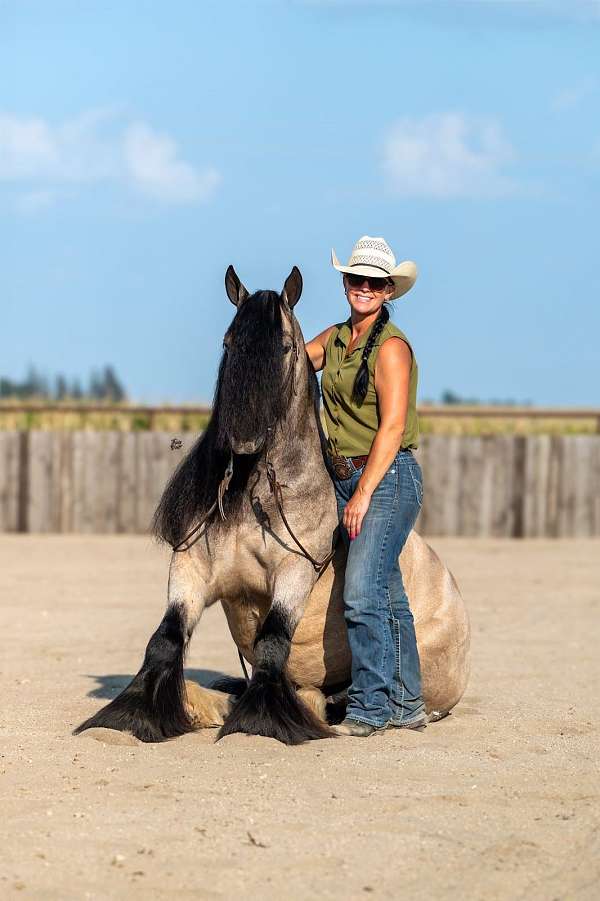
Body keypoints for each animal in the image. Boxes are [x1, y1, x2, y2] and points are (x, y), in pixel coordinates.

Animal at [75, 266, 470, 744]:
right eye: (229, 343)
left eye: (283, 347)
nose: (243, 439)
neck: (253, 497)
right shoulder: (190, 570)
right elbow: (164, 640)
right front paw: (134, 717)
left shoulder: (294, 574)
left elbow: (272, 642)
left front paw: (257, 721)